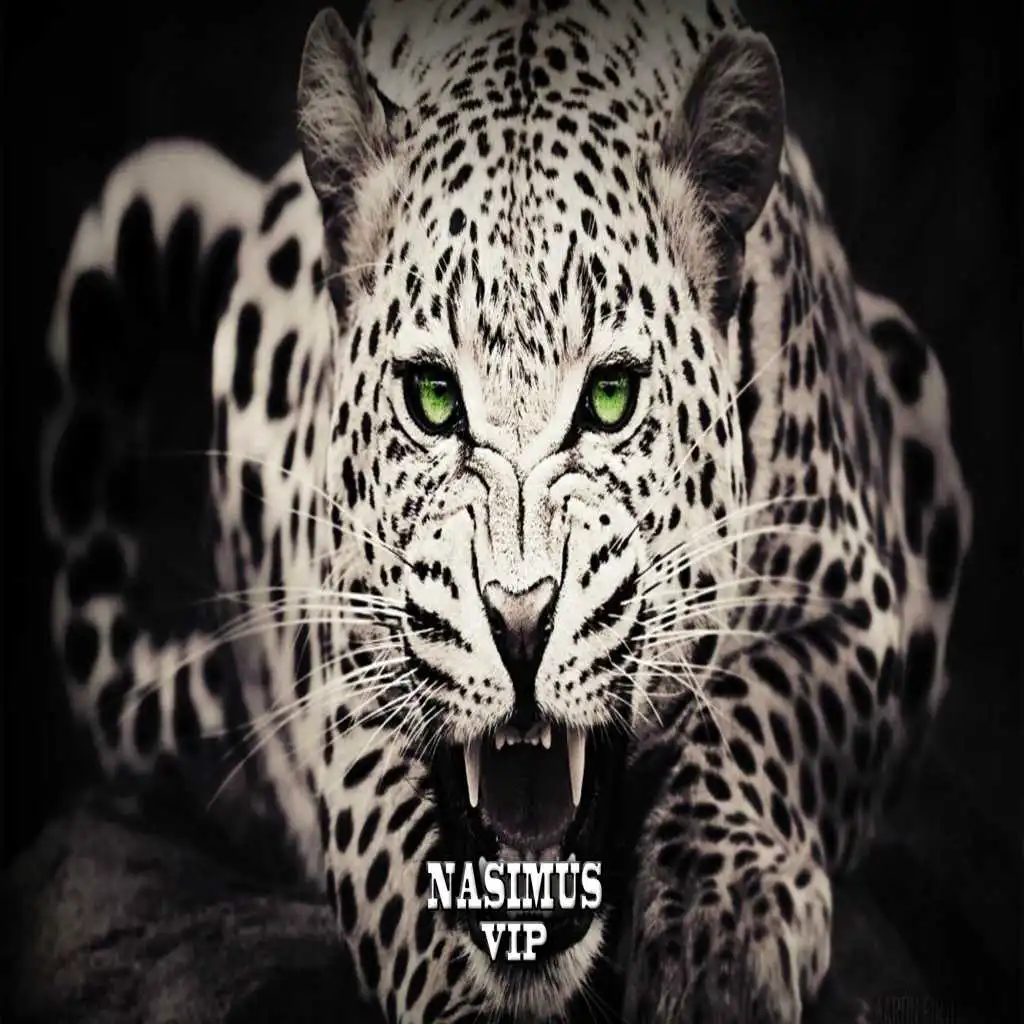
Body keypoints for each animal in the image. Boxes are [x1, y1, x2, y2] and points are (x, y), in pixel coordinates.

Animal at [40, 1, 973, 1021]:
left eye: (611, 398)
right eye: (432, 399)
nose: (520, 624)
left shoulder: (853, 596)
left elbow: (765, 710)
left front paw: (719, 935)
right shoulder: (351, 677)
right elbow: (411, 868)